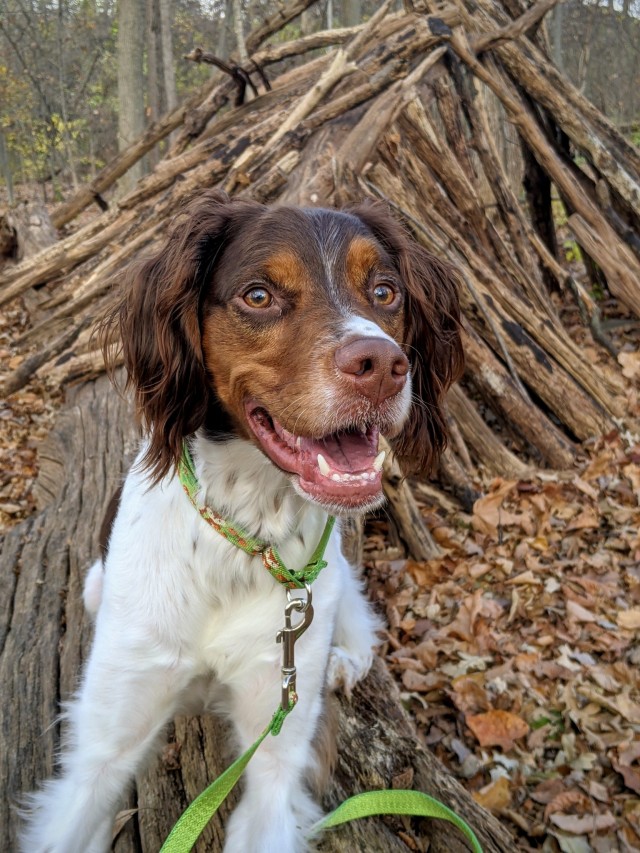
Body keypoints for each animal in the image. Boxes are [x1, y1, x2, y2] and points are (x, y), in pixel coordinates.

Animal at [18, 193, 460, 852]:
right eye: (258, 295)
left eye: (385, 292)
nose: (383, 364)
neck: (248, 536)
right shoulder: (102, 751)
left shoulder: (276, 753)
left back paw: (345, 659)